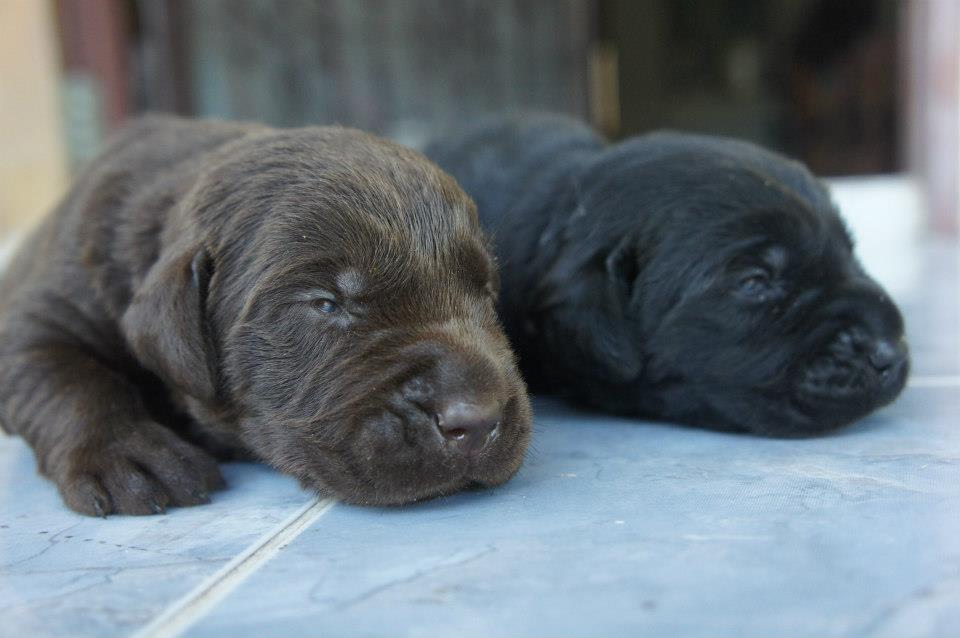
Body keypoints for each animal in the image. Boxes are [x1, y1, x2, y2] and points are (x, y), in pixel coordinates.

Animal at [0, 115, 531, 516]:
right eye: (325, 304)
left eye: (485, 292)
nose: (476, 421)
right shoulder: (45, 312)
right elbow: (67, 378)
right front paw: (129, 453)